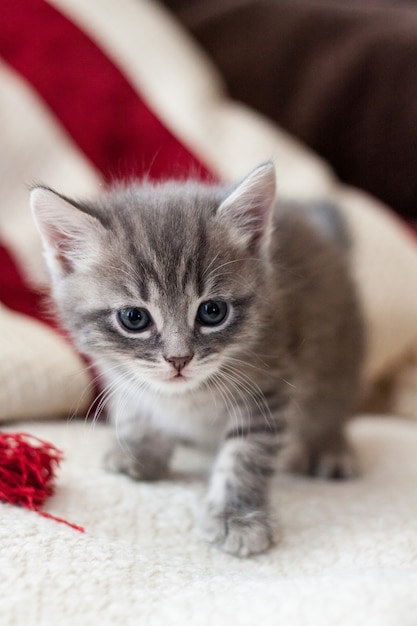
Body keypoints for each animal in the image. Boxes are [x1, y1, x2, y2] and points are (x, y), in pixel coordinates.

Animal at [30, 162, 360, 556]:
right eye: (134, 318)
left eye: (212, 312)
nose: (178, 358)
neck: (187, 398)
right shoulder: (121, 375)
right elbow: (135, 407)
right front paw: (139, 450)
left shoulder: (268, 386)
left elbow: (246, 455)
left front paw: (238, 516)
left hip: (338, 362)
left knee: (330, 409)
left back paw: (330, 449)